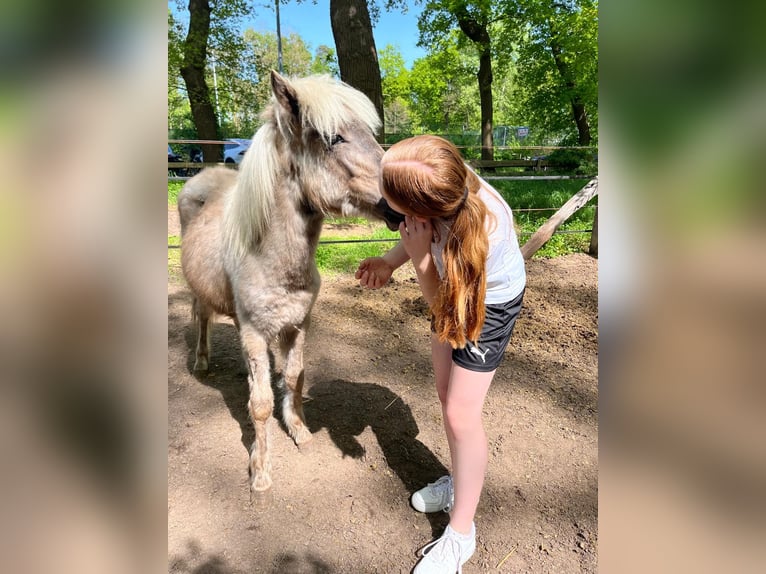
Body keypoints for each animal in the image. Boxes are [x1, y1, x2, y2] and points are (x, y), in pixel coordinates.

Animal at [178, 71, 401, 495]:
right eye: (334, 138)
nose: (399, 203)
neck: (272, 260)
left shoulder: (298, 324)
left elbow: (294, 378)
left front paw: (299, 431)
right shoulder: (253, 332)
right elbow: (260, 404)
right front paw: (260, 471)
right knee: (202, 316)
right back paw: (201, 362)